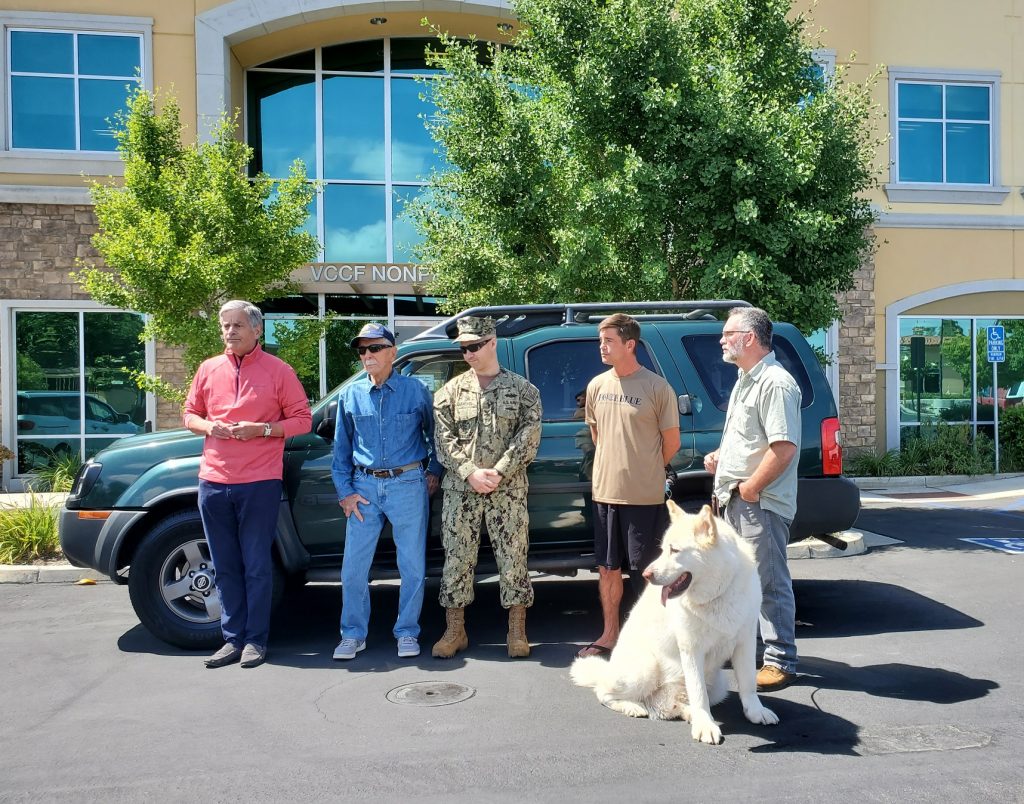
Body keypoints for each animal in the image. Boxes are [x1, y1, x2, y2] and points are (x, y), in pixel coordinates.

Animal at [570, 501, 779, 744]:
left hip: (718, 685)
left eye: (675, 550)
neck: (717, 594)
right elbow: (698, 693)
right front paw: (705, 725)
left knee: (670, 706)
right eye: (662, 550)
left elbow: (748, 685)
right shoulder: (691, 648)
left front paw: (756, 712)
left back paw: (686, 713)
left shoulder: (744, 642)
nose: (646, 574)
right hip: (645, 668)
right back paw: (633, 707)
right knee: (603, 693)